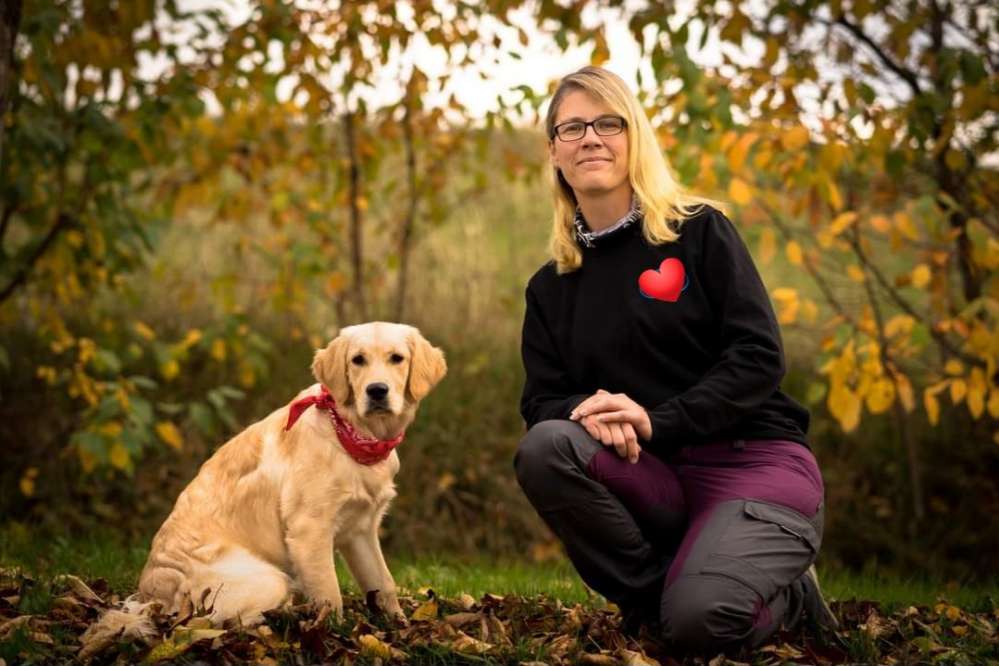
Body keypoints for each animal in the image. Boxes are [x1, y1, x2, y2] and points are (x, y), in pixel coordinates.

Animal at [86, 322, 446, 648]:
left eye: (397, 358)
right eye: (358, 360)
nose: (376, 390)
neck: (352, 433)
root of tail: (152, 595)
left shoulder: (361, 529)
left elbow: (384, 582)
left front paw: (400, 627)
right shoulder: (309, 530)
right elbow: (330, 595)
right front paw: (331, 636)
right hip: (267, 579)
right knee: (222, 622)